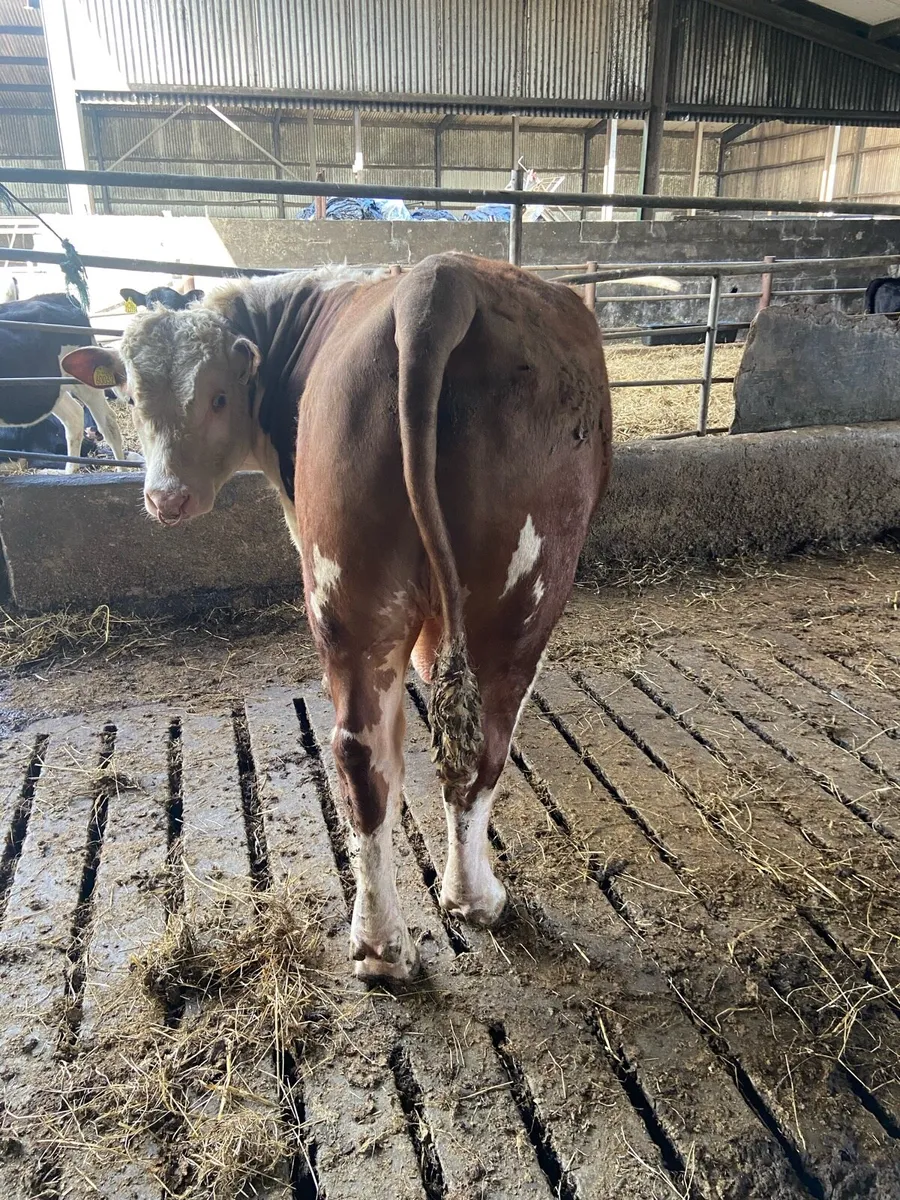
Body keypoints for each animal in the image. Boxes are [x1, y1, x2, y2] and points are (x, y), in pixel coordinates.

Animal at [63, 253, 612, 981]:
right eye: (129, 397)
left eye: (217, 397)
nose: (165, 498)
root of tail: (439, 282)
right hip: (525, 590)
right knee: (480, 742)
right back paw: (473, 900)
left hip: (347, 582)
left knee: (360, 750)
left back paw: (380, 946)